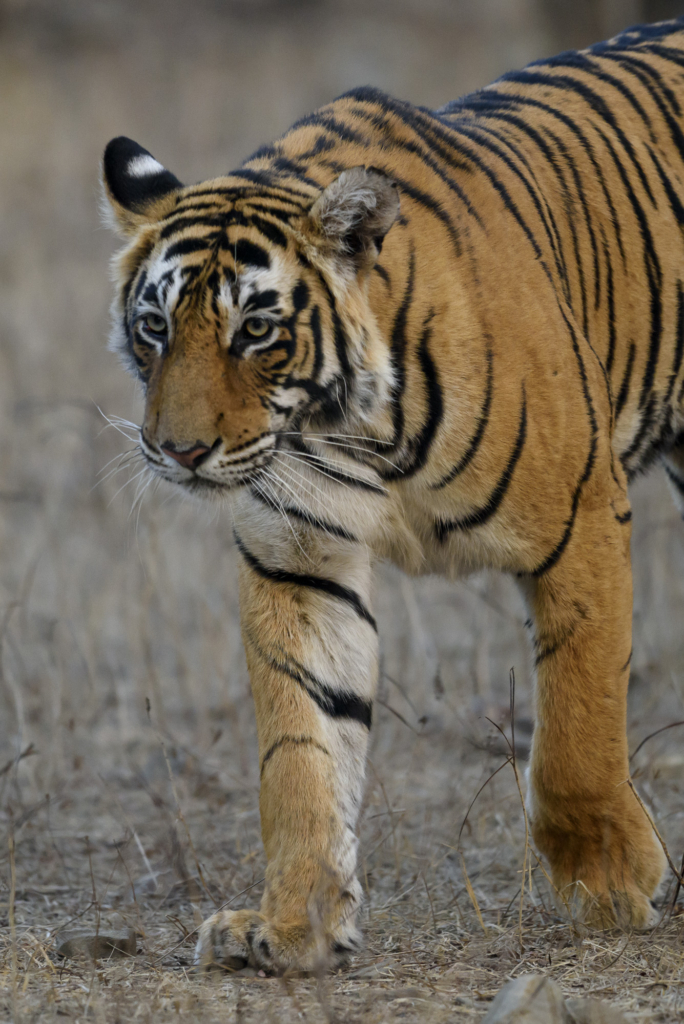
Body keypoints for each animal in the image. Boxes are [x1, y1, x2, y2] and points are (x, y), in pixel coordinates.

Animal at [98, 18, 684, 974]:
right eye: (155, 328)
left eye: (255, 330)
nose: (177, 451)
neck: (351, 424)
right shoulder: (299, 559)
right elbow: (301, 748)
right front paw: (292, 925)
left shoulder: (580, 517)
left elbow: (576, 722)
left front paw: (611, 884)